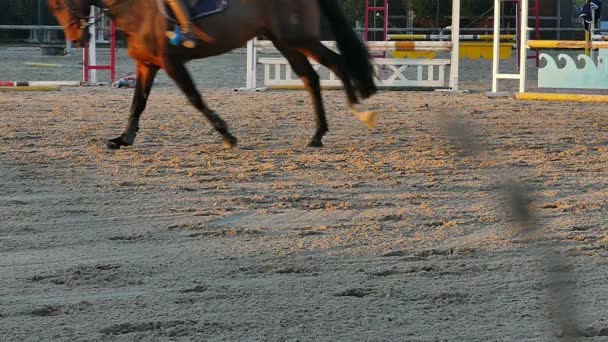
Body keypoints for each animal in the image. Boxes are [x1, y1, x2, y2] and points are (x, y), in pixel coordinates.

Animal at [48, 0, 376, 148]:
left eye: (61, 2)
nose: (77, 39)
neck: (136, 9)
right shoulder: (147, 65)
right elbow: (138, 103)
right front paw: (123, 138)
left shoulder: (170, 62)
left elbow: (195, 99)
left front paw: (227, 134)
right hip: (285, 41)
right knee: (312, 77)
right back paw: (318, 134)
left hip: (296, 37)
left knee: (335, 64)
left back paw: (357, 110)